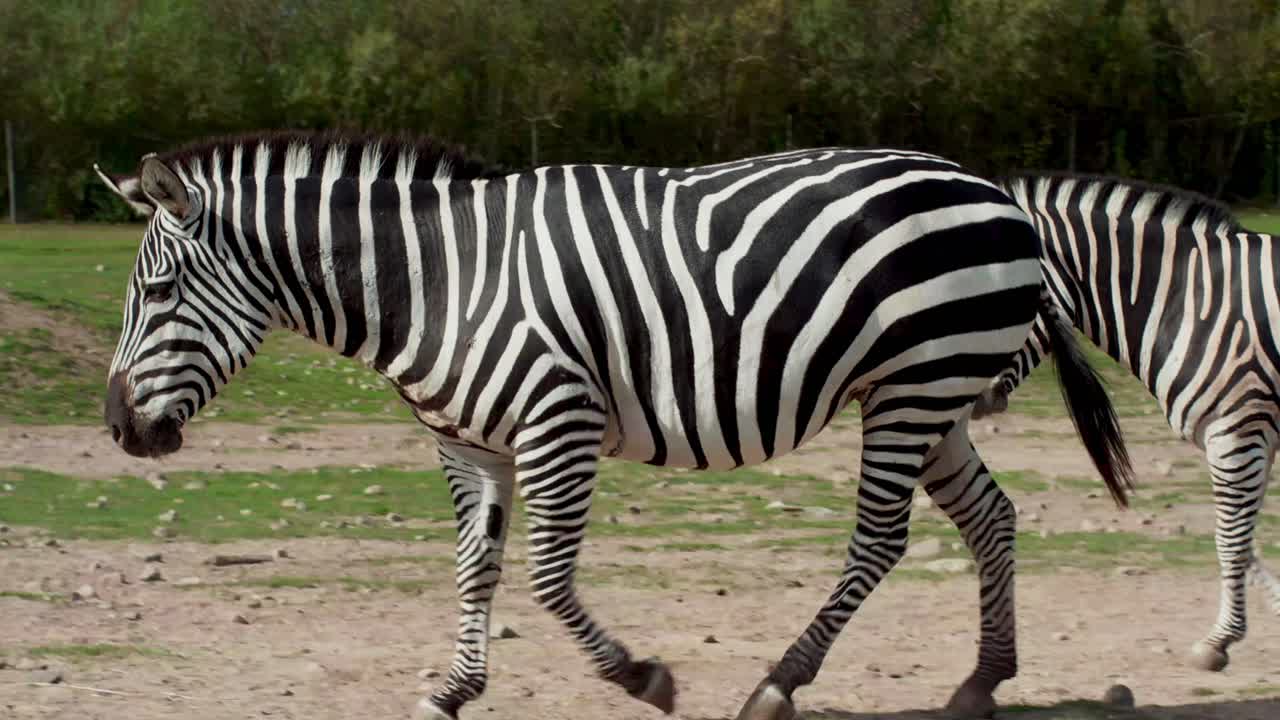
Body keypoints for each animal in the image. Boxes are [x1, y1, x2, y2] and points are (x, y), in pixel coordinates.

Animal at [96, 131, 1134, 720]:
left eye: (157, 291)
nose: (117, 430)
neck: (435, 285)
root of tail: (988, 188)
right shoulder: (467, 443)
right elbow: (478, 568)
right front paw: (453, 691)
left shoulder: (558, 419)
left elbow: (550, 579)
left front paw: (644, 678)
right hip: (931, 391)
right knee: (991, 517)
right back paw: (982, 681)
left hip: (918, 382)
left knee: (881, 538)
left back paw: (778, 684)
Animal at [973, 172, 1280, 674]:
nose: (970, 397)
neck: (1184, 299)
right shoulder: (1252, 439)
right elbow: (1245, 541)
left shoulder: (1236, 433)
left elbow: (1230, 539)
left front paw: (1218, 641)